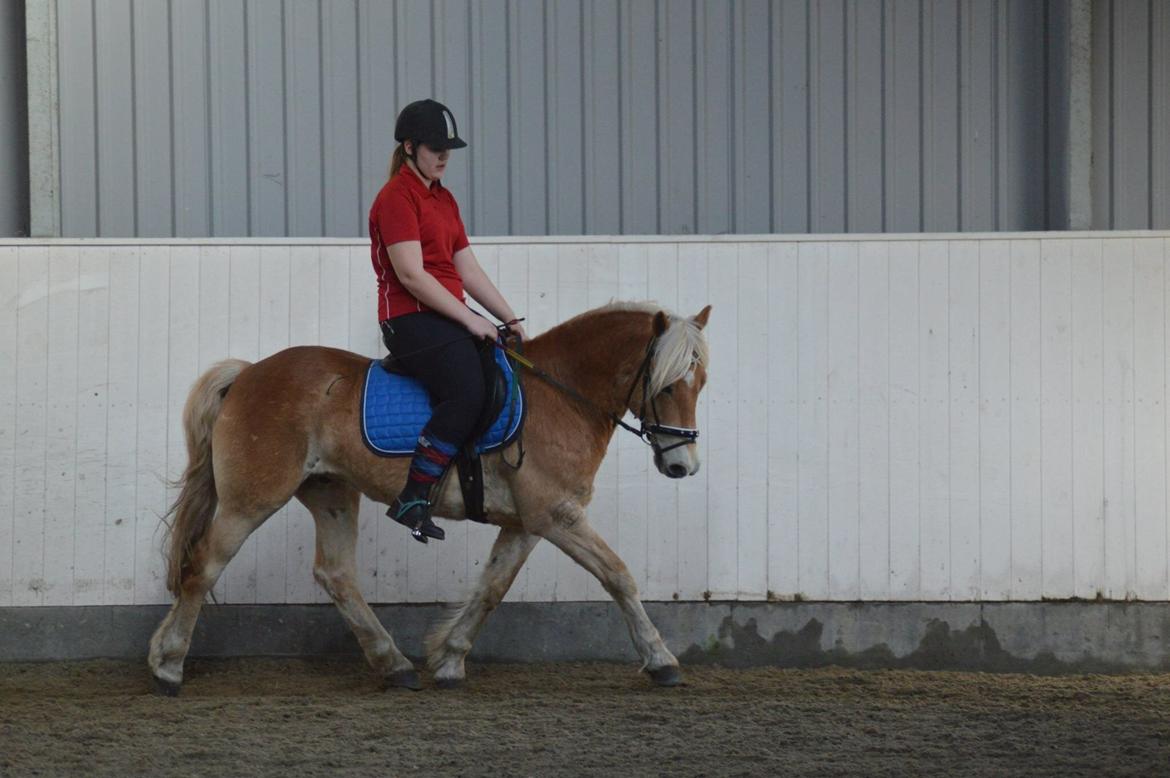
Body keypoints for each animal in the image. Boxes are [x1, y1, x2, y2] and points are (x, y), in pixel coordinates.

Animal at [146, 298, 711, 692]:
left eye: (700, 384)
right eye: (665, 386)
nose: (682, 466)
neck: (561, 395)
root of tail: (247, 374)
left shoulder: (528, 522)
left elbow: (492, 590)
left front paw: (448, 660)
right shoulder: (556, 516)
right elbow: (618, 575)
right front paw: (661, 661)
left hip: (331, 492)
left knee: (336, 575)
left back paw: (394, 665)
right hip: (252, 498)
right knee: (204, 566)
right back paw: (168, 666)